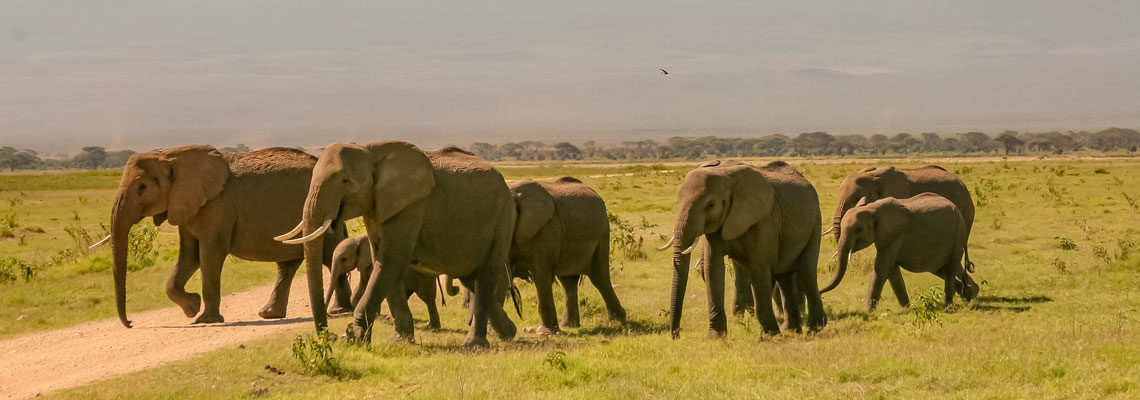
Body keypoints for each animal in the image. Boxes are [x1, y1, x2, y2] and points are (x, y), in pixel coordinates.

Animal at [91, 144, 348, 328]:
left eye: (142, 187)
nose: (130, 323)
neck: (171, 155)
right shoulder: (188, 206)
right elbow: (189, 256)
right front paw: (192, 308)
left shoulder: (217, 205)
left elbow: (210, 254)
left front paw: (205, 319)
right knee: (288, 265)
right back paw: (269, 315)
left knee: (330, 255)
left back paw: (339, 311)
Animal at [273, 141, 515, 348]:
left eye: (345, 181)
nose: (330, 335)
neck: (370, 153)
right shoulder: (376, 206)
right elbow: (384, 263)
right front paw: (400, 340)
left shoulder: (411, 206)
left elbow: (389, 262)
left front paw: (356, 338)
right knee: (471, 278)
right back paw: (508, 333)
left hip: (502, 218)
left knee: (486, 275)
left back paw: (475, 345)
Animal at [513, 177, 629, 335]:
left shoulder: (548, 229)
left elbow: (541, 274)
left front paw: (546, 333)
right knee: (569, 281)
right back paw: (570, 325)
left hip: (603, 232)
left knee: (599, 277)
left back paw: (618, 319)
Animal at [661, 159, 829, 337]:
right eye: (677, 202)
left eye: (711, 205)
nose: (676, 334)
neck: (725, 175)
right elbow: (713, 268)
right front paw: (716, 337)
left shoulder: (764, 220)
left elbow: (759, 267)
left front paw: (770, 335)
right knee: (785, 276)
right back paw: (790, 330)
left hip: (815, 222)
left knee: (806, 269)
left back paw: (815, 328)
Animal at [820, 193, 980, 314]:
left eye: (859, 230)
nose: (821, 293)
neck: (872, 209)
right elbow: (892, 271)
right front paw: (906, 309)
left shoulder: (895, 235)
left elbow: (882, 269)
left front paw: (867, 312)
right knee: (941, 269)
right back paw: (969, 294)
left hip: (957, 235)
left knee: (950, 267)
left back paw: (950, 305)